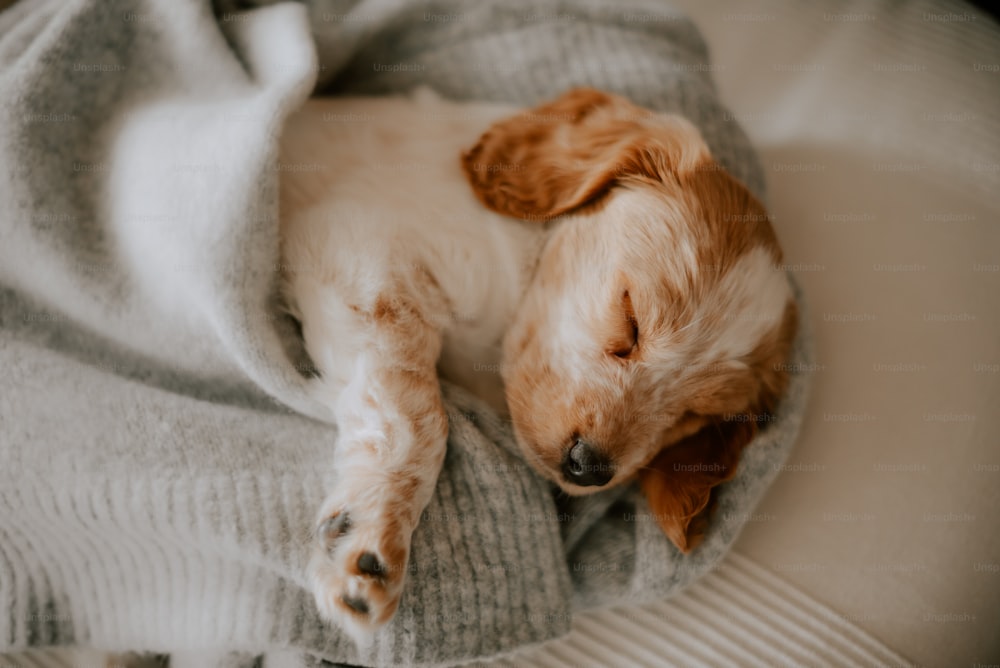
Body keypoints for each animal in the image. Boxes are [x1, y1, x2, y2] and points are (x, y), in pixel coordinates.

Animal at [278, 86, 800, 640]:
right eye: (631, 321)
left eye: (693, 415)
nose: (588, 467)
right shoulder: (356, 251)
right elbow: (413, 414)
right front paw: (372, 539)